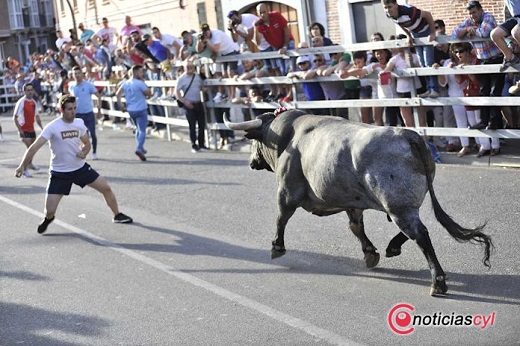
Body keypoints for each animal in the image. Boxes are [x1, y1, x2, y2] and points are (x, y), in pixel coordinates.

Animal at [223, 108, 492, 294]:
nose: (251, 162)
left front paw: (277, 247)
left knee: (420, 233)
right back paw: (394, 247)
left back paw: (437, 281)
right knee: (416, 230)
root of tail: (408, 135)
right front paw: (370, 253)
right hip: (401, 205)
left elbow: (281, 217)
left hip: (398, 206)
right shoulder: (353, 202)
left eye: (253, 141)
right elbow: (356, 227)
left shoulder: (287, 191)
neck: (288, 136)